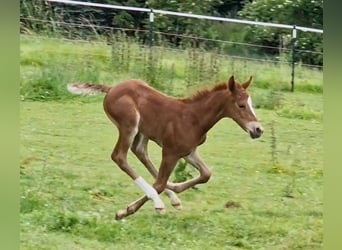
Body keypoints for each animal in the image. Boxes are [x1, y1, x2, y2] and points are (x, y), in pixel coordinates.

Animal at [67, 75, 264, 220]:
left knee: (140, 152)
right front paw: (126, 211)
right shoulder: (170, 152)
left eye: (252, 104)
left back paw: (171, 196)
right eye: (241, 105)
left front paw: (174, 190)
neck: (194, 118)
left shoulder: (188, 151)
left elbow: (206, 174)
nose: (258, 129)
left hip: (143, 132)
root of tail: (111, 89)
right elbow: (160, 183)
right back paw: (158, 202)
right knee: (120, 157)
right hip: (129, 124)